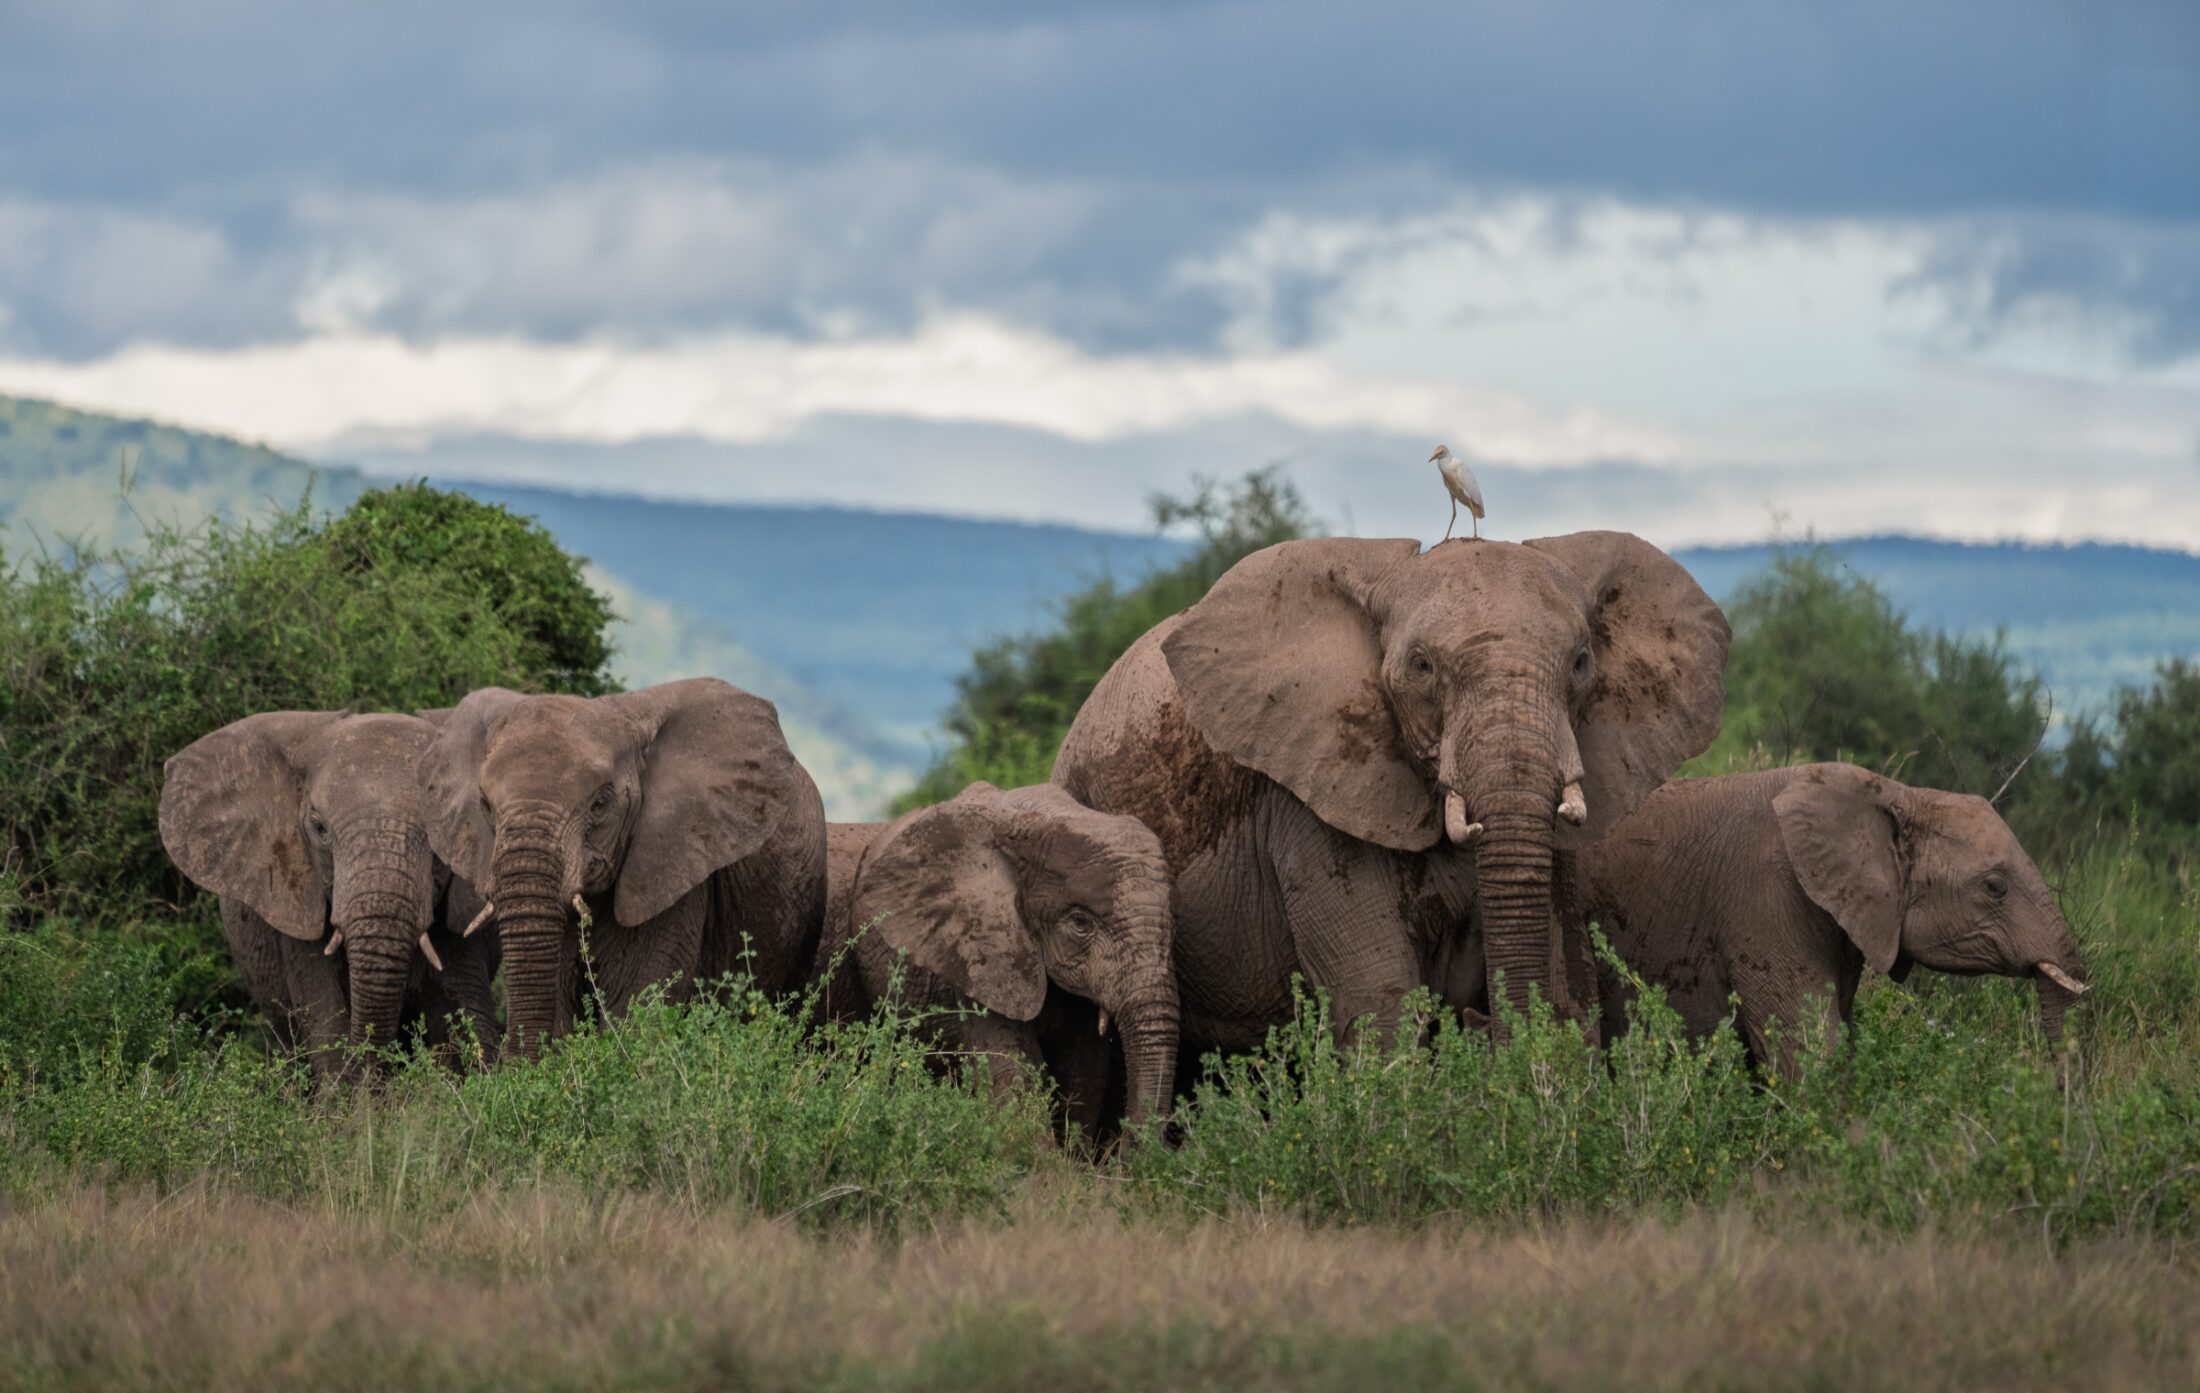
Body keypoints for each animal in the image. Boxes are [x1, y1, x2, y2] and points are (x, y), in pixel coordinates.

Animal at [1053, 533, 1729, 1055]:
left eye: (1583, 662)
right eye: (1422, 666)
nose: (1481, 1023)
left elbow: (1568, 979)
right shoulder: (1307, 795)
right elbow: (1381, 997)